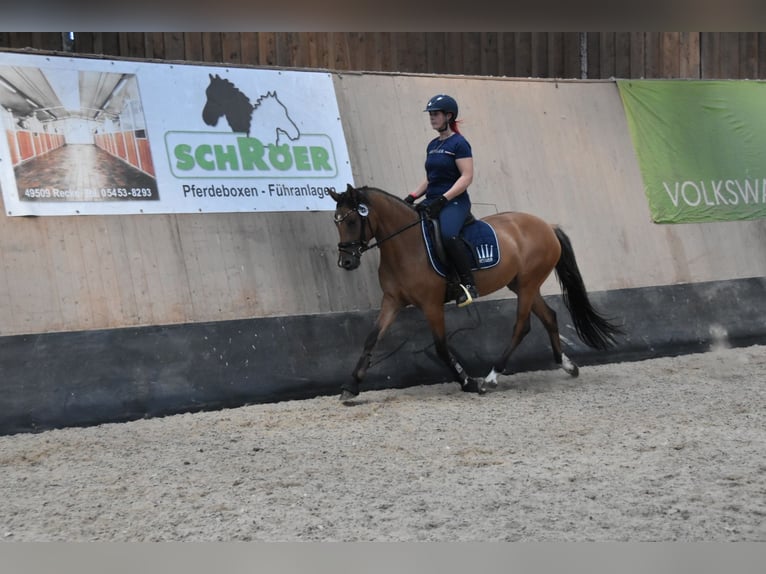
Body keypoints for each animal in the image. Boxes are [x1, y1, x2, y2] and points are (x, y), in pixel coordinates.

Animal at [329, 184, 624, 403]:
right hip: (522, 283)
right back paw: (567, 365)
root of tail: (546, 226)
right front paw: (350, 386)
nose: (346, 262)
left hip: (528, 284)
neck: (406, 245)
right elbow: (371, 339)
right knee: (549, 316)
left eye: (352, 220)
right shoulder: (392, 301)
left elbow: (441, 347)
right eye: (336, 222)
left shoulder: (431, 305)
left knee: (522, 325)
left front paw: (468, 381)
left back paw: (491, 377)